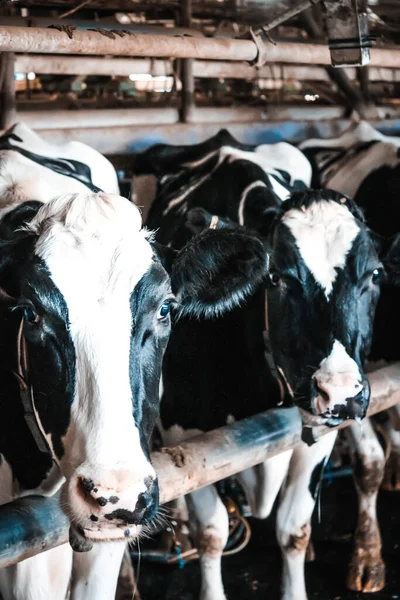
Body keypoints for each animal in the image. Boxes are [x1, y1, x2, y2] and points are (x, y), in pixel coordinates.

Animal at [135, 131, 384, 600]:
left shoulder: (320, 430)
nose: (341, 392)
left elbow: (294, 527)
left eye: (375, 275)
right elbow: (211, 532)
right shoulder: (185, 431)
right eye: (278, 278)